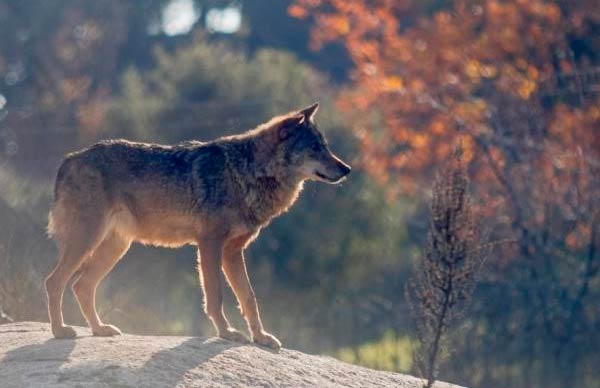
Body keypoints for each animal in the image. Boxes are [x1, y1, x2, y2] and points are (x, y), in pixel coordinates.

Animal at [45, 102, 352, 348]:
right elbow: (215, 296)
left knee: (81, 286)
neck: (245, 172)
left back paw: (98, 329)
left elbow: (249, 298)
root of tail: (68, 159)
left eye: (325, 146)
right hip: (88, 240)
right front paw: (227, 333)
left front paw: (261, 337)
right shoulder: (210, 245)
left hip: (116, 248)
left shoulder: (233, 251)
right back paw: (60, 331)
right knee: (55, 281)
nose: (347, 169)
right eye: (315, 148)